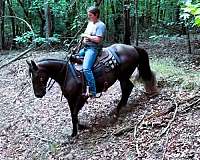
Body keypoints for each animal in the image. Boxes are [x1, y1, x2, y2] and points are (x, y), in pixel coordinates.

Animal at [27, 43, 158, 136]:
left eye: (38, 76)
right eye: (31, 76)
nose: (38, 94)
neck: (67, 74)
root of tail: (132, 47)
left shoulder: (81, 97)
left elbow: (74, 113)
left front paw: (74, 133)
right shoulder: (70, 99)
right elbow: (73, 113)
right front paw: (79, 127)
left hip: (123, 76)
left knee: (127, 88)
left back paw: (118, 110)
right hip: (123, 76)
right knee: (128, 88)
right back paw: (120, 108)